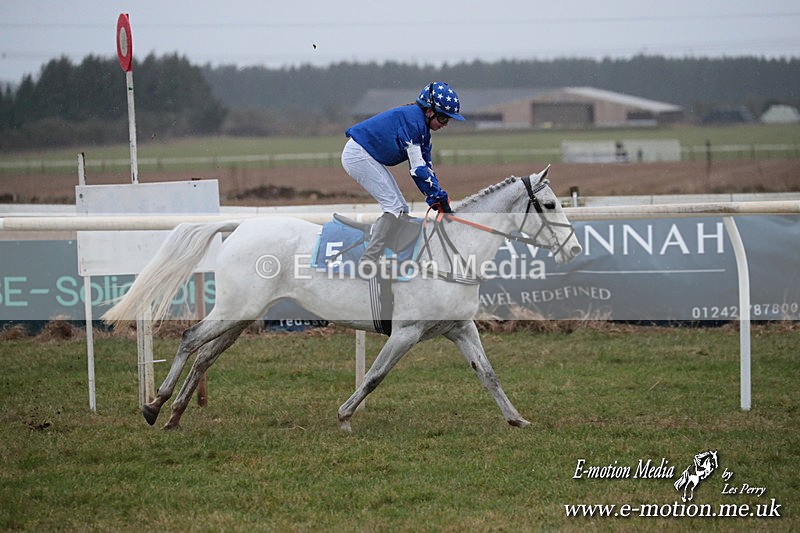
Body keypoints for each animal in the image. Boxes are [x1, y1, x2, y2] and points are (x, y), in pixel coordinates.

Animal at [103, 166, 582, 431]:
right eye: (551, 205)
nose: (575, 248)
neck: (452, 252)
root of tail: (240, 225)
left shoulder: (460, 328)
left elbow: (489, 375)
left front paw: (517, 418)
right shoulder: (406, 332)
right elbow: (374, 375)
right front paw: (345, 415)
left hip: (241, 315)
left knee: (205, 355)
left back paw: (175, 414)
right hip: (236, 309)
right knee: (189, 340)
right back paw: (154, 404)